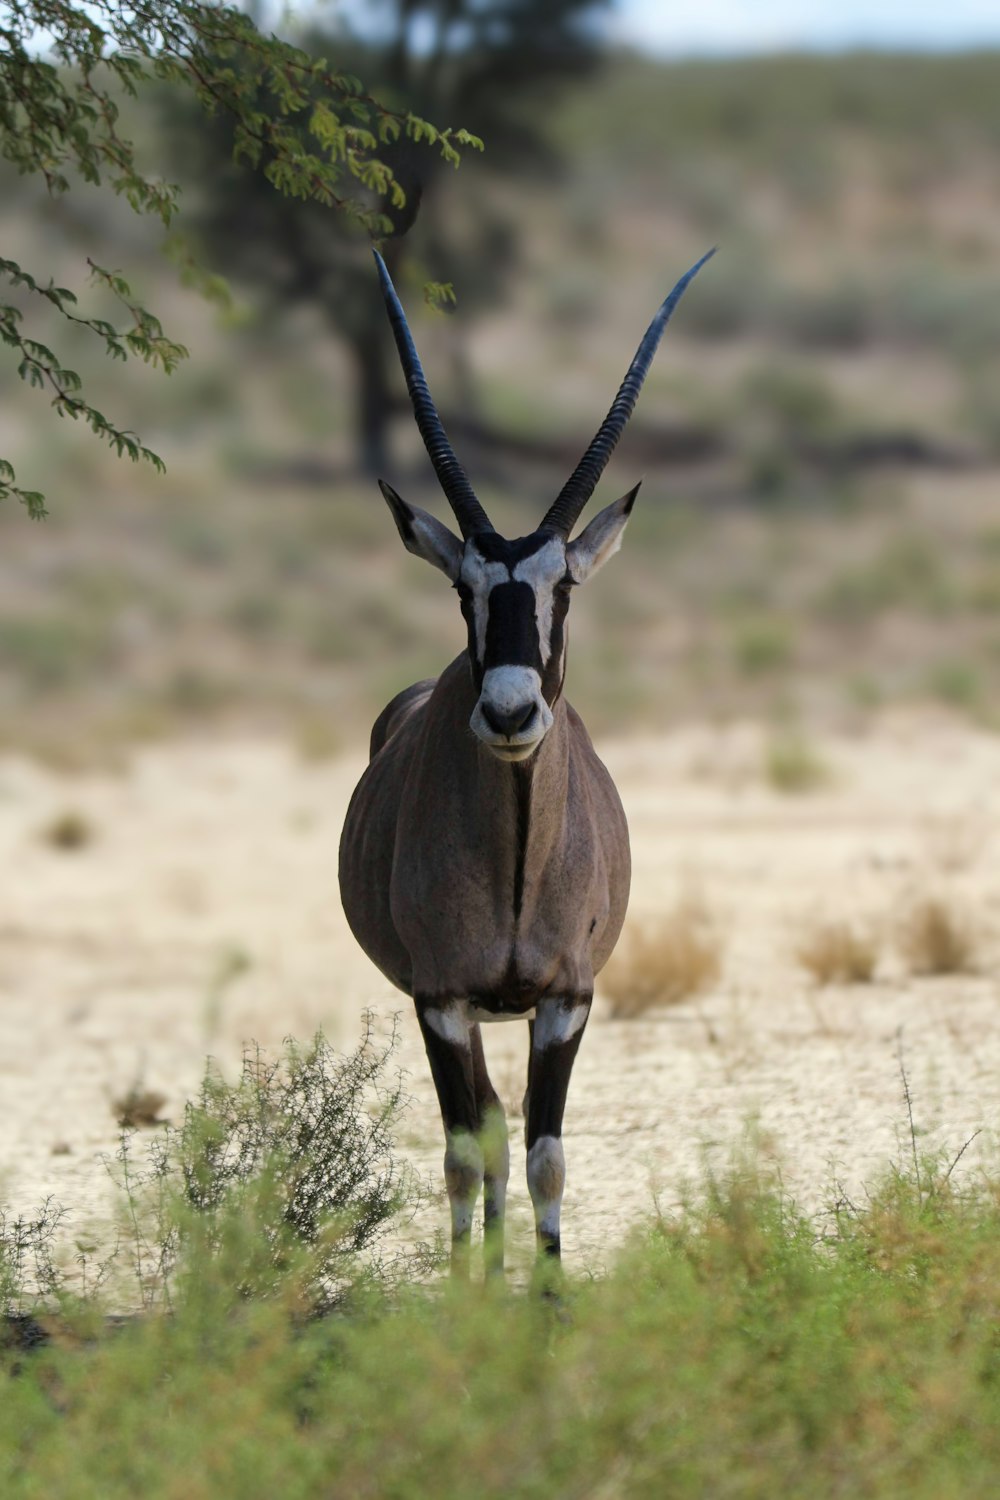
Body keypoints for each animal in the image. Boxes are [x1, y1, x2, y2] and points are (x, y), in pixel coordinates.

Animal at [340, 249, 716, 1278]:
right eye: (463, 588)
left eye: (565, 588)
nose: (509, 711)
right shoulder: (441, 1001)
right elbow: (468, 1153)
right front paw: (475, 1299)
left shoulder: (565, 1000)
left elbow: (546, 1155)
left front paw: (545, 1299)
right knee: (483, 1137)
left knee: (508, 1135)